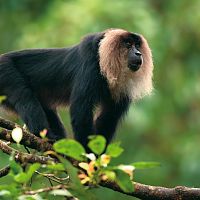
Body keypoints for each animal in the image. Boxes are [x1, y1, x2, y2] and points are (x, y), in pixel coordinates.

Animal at [0, 28, 153, 147]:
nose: (138, 53)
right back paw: (45, 135)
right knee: (24, 96)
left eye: (137, 45)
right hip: (6, 70)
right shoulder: (90, 64)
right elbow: (81, 112)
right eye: (128, 44)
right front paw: (86, 154)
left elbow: (109, 117)